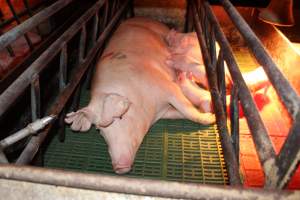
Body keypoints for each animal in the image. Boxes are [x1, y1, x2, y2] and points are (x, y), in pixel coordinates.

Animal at [63, 16, 216, 173]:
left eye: (120, 117)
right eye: (99, 130)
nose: (119, 167)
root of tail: (141, 17)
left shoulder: (167, 86)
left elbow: (188, 110)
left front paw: (211, 116)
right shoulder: (163, 111)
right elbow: (180, 113)